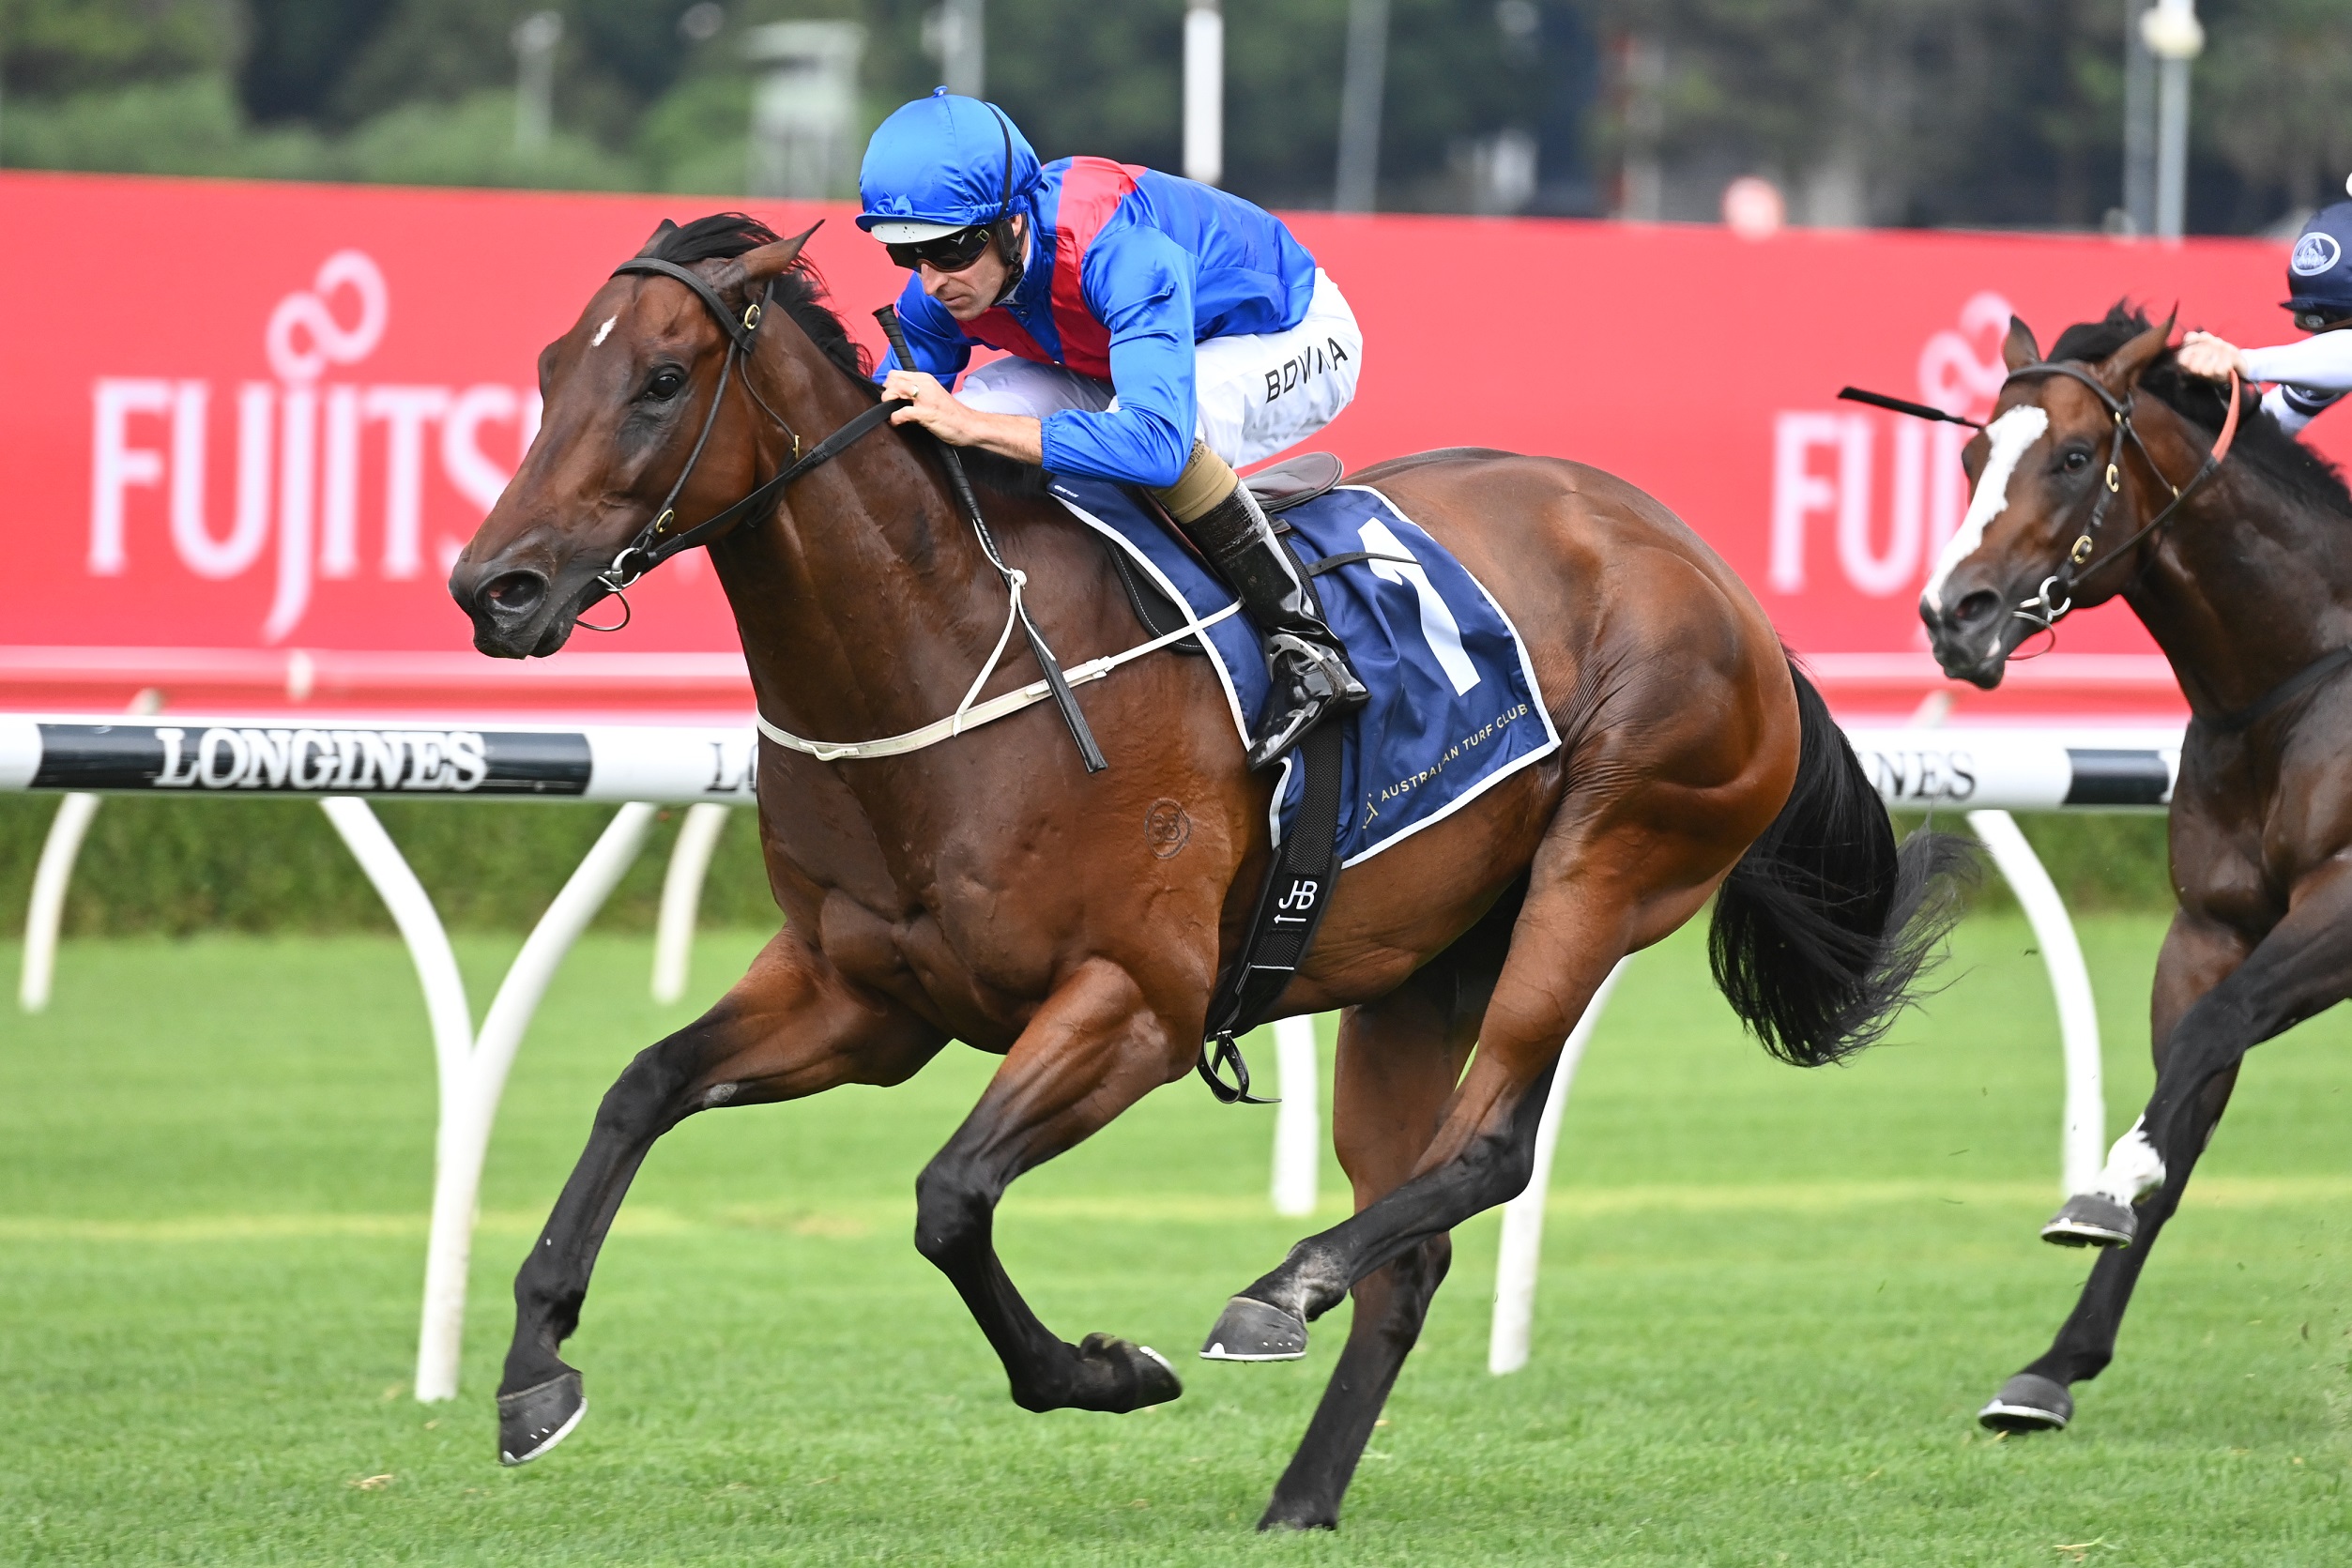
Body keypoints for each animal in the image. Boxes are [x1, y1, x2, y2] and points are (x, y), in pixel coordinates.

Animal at [449, 212, 1961, 1530]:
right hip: (1421, 965)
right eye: (549, 371)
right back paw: (1302, 1489)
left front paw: (1103, 1371)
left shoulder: (1136, 1002)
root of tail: (1706, 571)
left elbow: (950, 1199)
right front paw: (533, 1372)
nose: (492, 588)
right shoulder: (859, 996)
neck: (948, 651)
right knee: (1417, 1236)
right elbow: (642, 1086)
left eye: (659, 381)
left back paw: (1285, 1284)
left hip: (1607, 862)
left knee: (1486, 1146)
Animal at [1919, 303, 2352, 1434]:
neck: (2292, 682)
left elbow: (2208, 1035)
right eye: (1975, 454)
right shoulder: (2210, 926)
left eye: (2075, 457)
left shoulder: (2344, 902)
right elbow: (2187, 1091)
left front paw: (2107, 1182)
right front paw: (2056, 1358)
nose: (1953, 614)